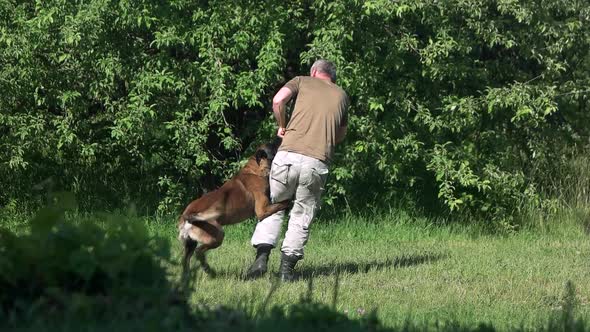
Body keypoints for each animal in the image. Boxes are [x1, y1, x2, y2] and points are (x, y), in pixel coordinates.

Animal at [180, 140, 292, 274]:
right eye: (273, 147)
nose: (280, 138)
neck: (254, 169)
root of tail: (186, 215)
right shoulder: (262, 210)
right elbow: (281, 203)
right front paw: (290, 201)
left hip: (190, 243)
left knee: (186, 259)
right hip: (217, 235)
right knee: (199, 252)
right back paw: (208, 270)